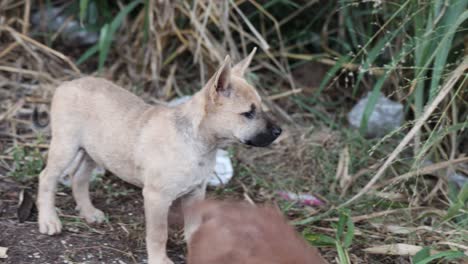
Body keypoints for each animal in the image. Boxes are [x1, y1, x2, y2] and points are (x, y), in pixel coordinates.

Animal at [36, 50, 282, 264]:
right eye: (248, 113)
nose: (279, 131)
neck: (197, 141)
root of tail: (67, 84)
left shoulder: (195, 193)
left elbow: (194, 228)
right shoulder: (156, 198)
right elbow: (158, 235)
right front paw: (159, 260)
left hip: (93, 152)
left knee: (79, 177)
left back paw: (88, 211)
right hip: (65, 147)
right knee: (47, 177)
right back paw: (48, 219)